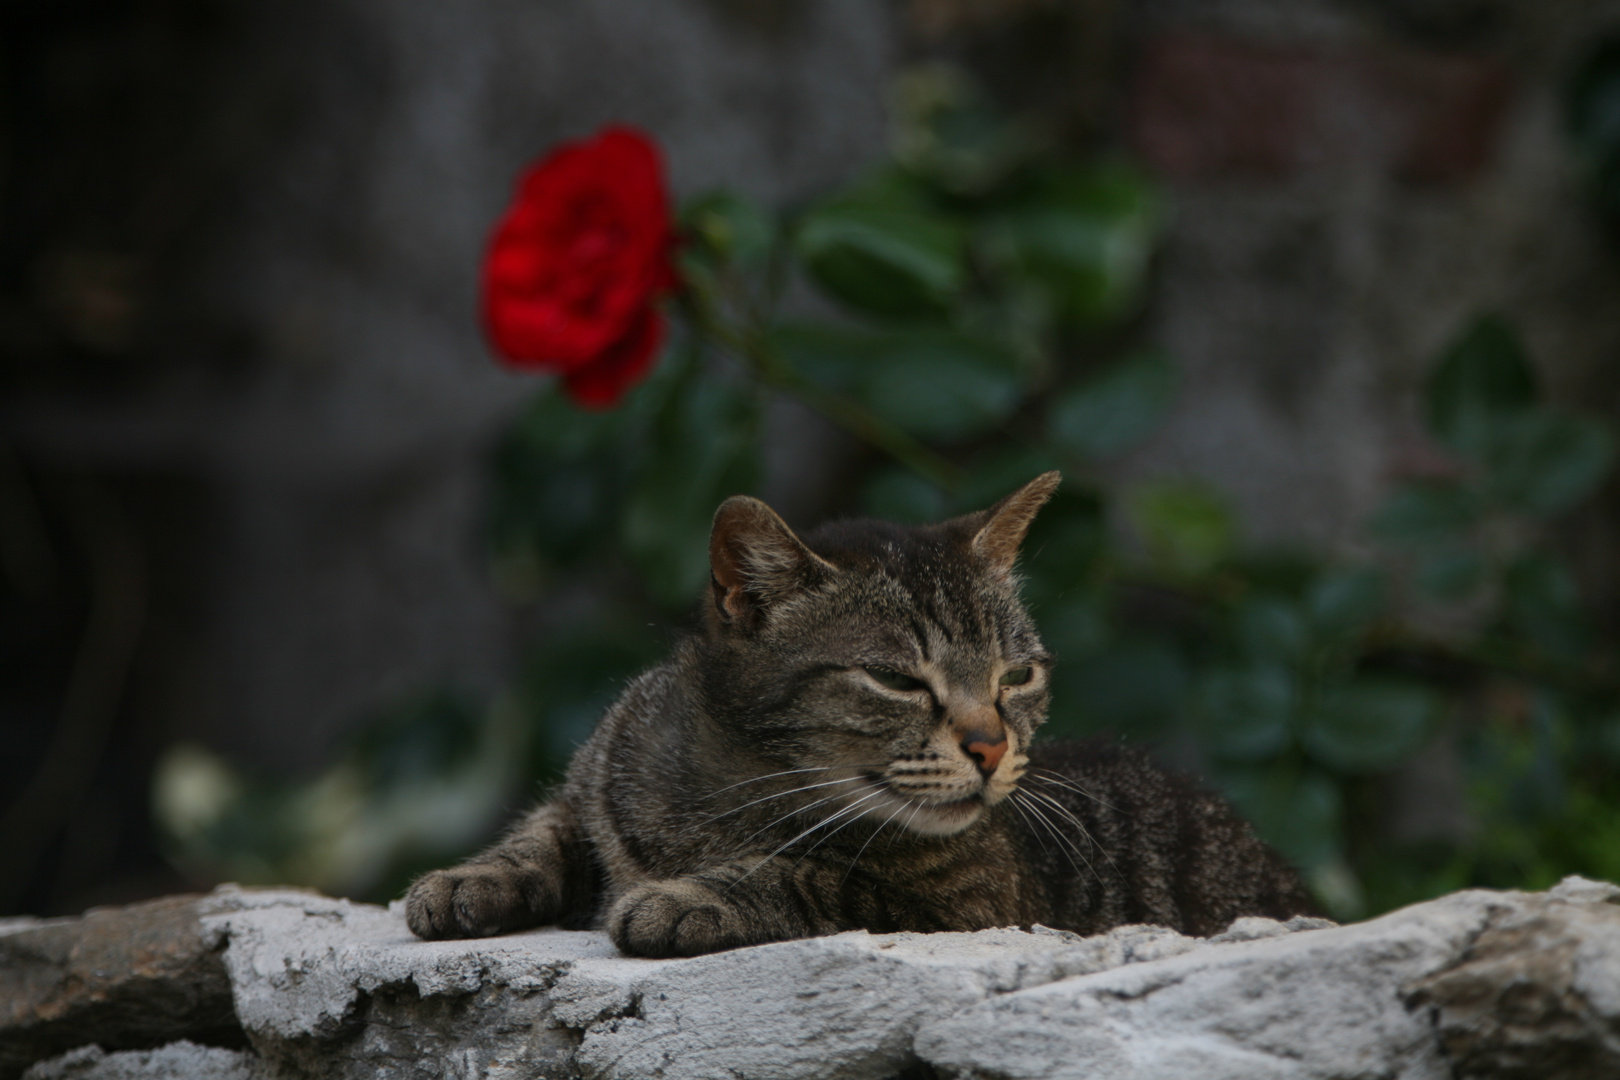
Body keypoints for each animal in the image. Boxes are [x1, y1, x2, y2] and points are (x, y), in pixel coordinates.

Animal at [408, 472, 1315, 952]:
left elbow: (809, 876)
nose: (991, 746)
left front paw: (685, 897)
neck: (731, 790)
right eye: (896, 680)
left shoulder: (968, 908)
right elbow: (539, 834)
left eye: (1016, 675)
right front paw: (466, 879)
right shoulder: (589, 785)